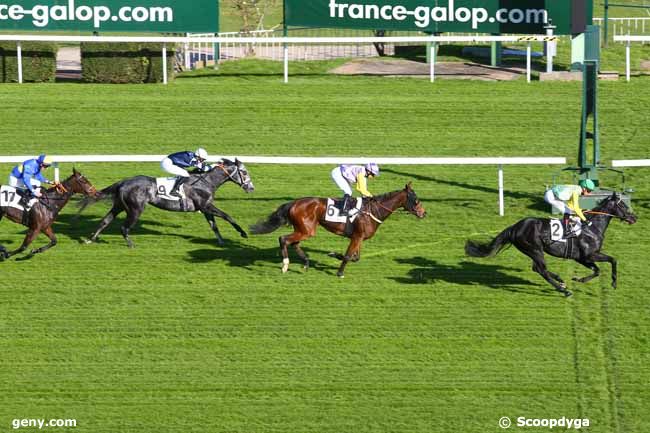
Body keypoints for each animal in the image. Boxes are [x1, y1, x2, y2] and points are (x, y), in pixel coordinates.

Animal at [78, 158, 253, 246]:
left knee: (105, 221)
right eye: (244, 172)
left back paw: (89, 239)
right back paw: (131, 244)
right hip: (135, 209)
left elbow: (214, 225)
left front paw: (221, 241)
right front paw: (243, 233)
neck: (206, 181)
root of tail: (123, 182)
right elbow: (227, 216)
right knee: (123, 227)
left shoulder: (204, 208)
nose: (251, 187)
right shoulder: (206, 205)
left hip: (119, 206)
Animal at [249, 182, 426, 276]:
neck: (373, 211)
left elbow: (355, 257)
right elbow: (348, 256)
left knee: (293, 243)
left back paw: (305, 263)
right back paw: (285, 265)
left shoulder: (359, 237)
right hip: (307, 230)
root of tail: (293, 203)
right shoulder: (356, 237)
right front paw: (339, 272)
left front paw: (333, 254)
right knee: (283, 239)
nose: (424, 213)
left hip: (304, 229)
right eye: (416, 199)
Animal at [464, 193, 636, 296]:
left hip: (533, 251)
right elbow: (613, 260)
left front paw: (578, 279)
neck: (592, 226)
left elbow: (597, 270)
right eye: (623, 205)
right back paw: (563, 290)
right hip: (535, 249)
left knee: (537, 268)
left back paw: (561, 281)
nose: (634, 217)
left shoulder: (582, 258)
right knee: (541, 270)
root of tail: (515, 227)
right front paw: (614, 282)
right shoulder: (589, 255)